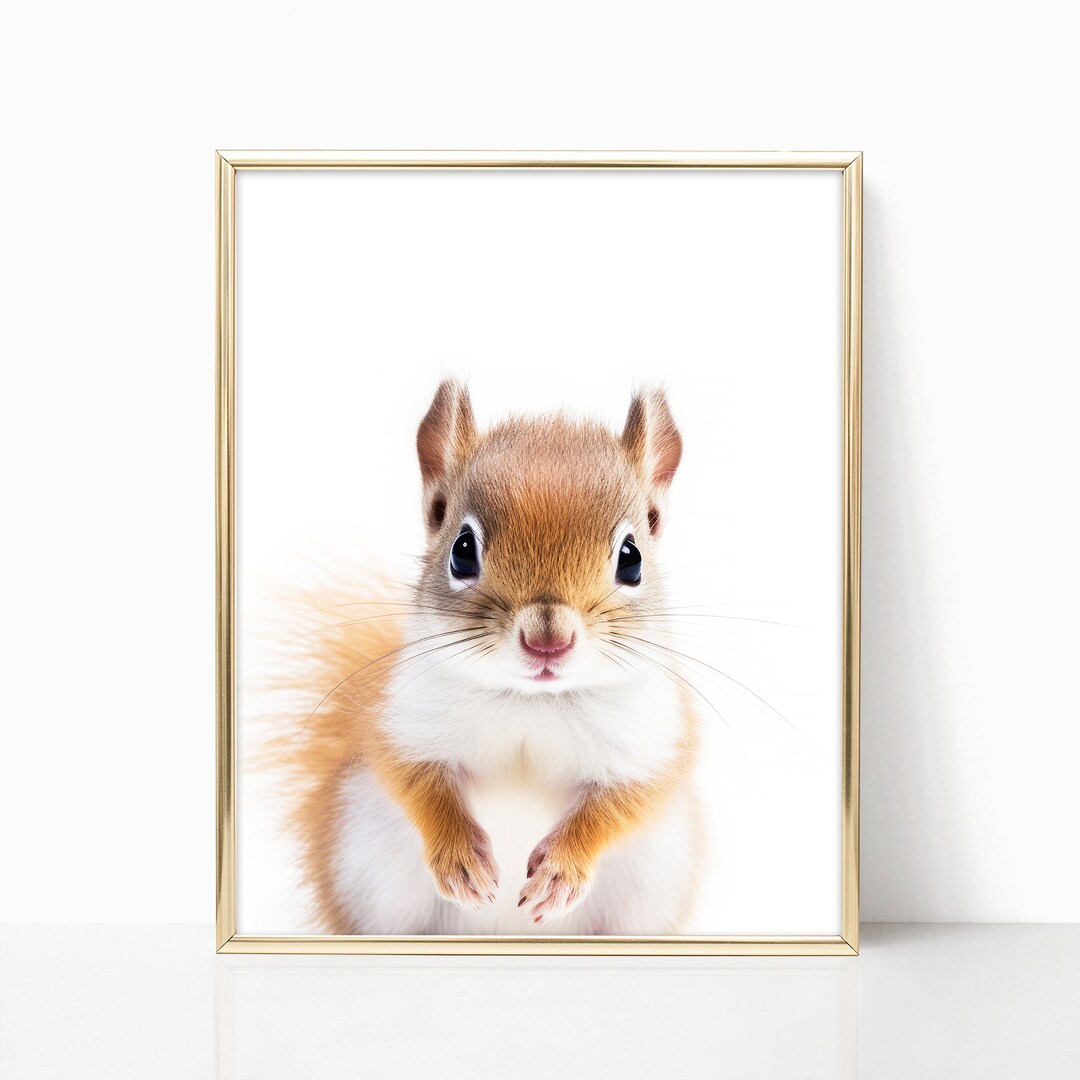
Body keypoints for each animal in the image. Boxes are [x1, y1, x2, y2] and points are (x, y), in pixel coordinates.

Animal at [276, 380, 703, 935]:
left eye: (631, 559)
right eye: (462, 550)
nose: (548, 640)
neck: (531, 701)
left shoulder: (650, 745)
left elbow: (622, 806)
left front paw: (561, 873)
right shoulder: (402, 724)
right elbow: (416, 781)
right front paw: (460, 861)